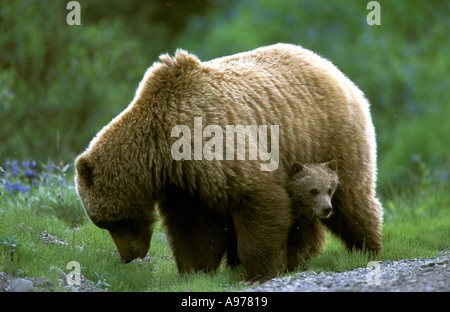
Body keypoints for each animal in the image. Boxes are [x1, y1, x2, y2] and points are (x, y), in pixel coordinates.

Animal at [74, 43, 384, 282]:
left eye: (114, 221)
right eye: (104, 224)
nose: (129, 256)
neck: (162, 154)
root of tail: (332, 67)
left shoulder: (212, 144)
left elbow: (258, 199)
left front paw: (258, 271)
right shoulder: (184, 184)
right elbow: (193, 229)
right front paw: (196, 272)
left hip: (330, 135)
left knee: (351, 198)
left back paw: (368, 248)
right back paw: (299, 259)